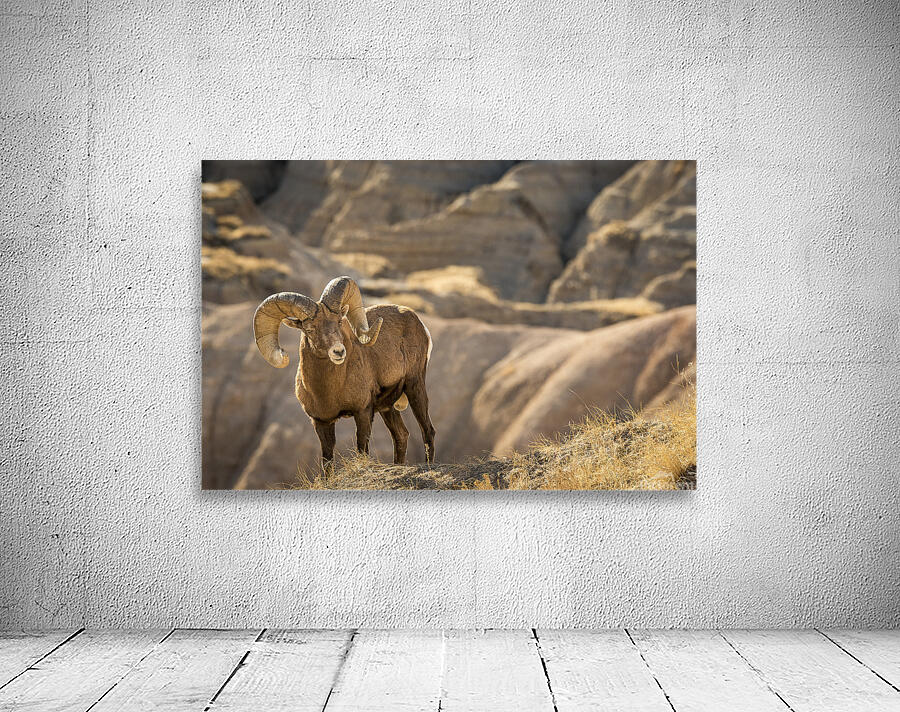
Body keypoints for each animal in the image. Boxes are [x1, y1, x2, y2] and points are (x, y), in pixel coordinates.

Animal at [252, 276, 435, 467]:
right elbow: (327, 461)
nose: (339, 352)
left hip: (414, 386)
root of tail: (418, 322)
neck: (328, 391)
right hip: (387, 407)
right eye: (310, 329)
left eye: (339, 322)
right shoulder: (321, 422)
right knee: (401, 435)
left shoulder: (363, 412)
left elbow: (362, 449)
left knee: (427, 430)